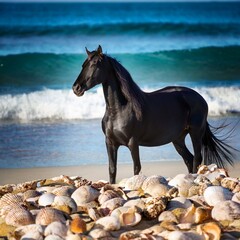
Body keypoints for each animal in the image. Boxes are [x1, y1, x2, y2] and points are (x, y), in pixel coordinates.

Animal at [72, 45, 233, 184]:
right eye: (83, 64)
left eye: (95, 64)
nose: (76, 88)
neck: (118, 110)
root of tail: (201, 98)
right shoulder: (110, 143)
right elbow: (112, 169)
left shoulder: (133, 143)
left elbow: (136, 168)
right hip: (178, 139)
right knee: (189, 159)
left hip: (195, 133)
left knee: (197, 159)